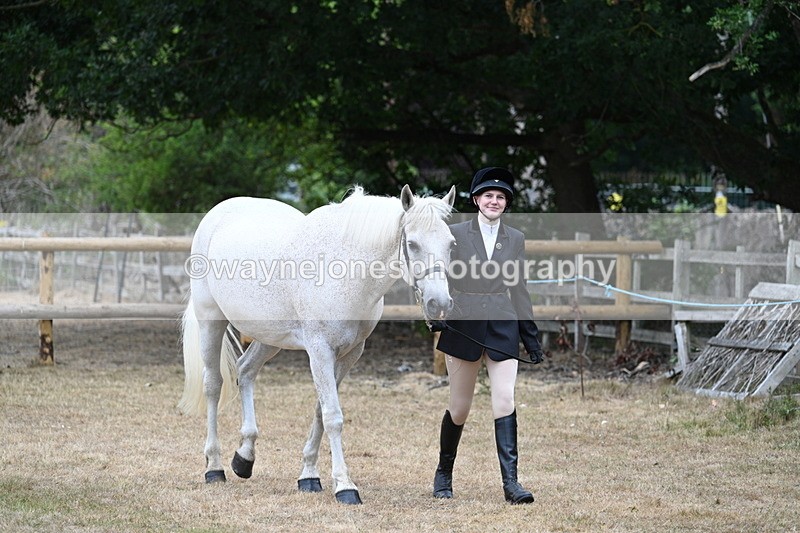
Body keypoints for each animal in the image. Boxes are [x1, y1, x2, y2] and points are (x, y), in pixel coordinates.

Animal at [178, 184, 456, 504]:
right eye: (412, 243)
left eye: (450, 243)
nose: (439, 304)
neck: (345, 271)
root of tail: (217, 213)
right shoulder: (320, 351)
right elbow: (333, 416)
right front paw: (345, 486)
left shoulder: (349, 354)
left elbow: (320, 413)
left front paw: (309, 475)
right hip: (211, 320)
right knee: (213, 385)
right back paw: (214, 466)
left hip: (269, 337)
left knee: (245, 370)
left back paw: (244, 458)